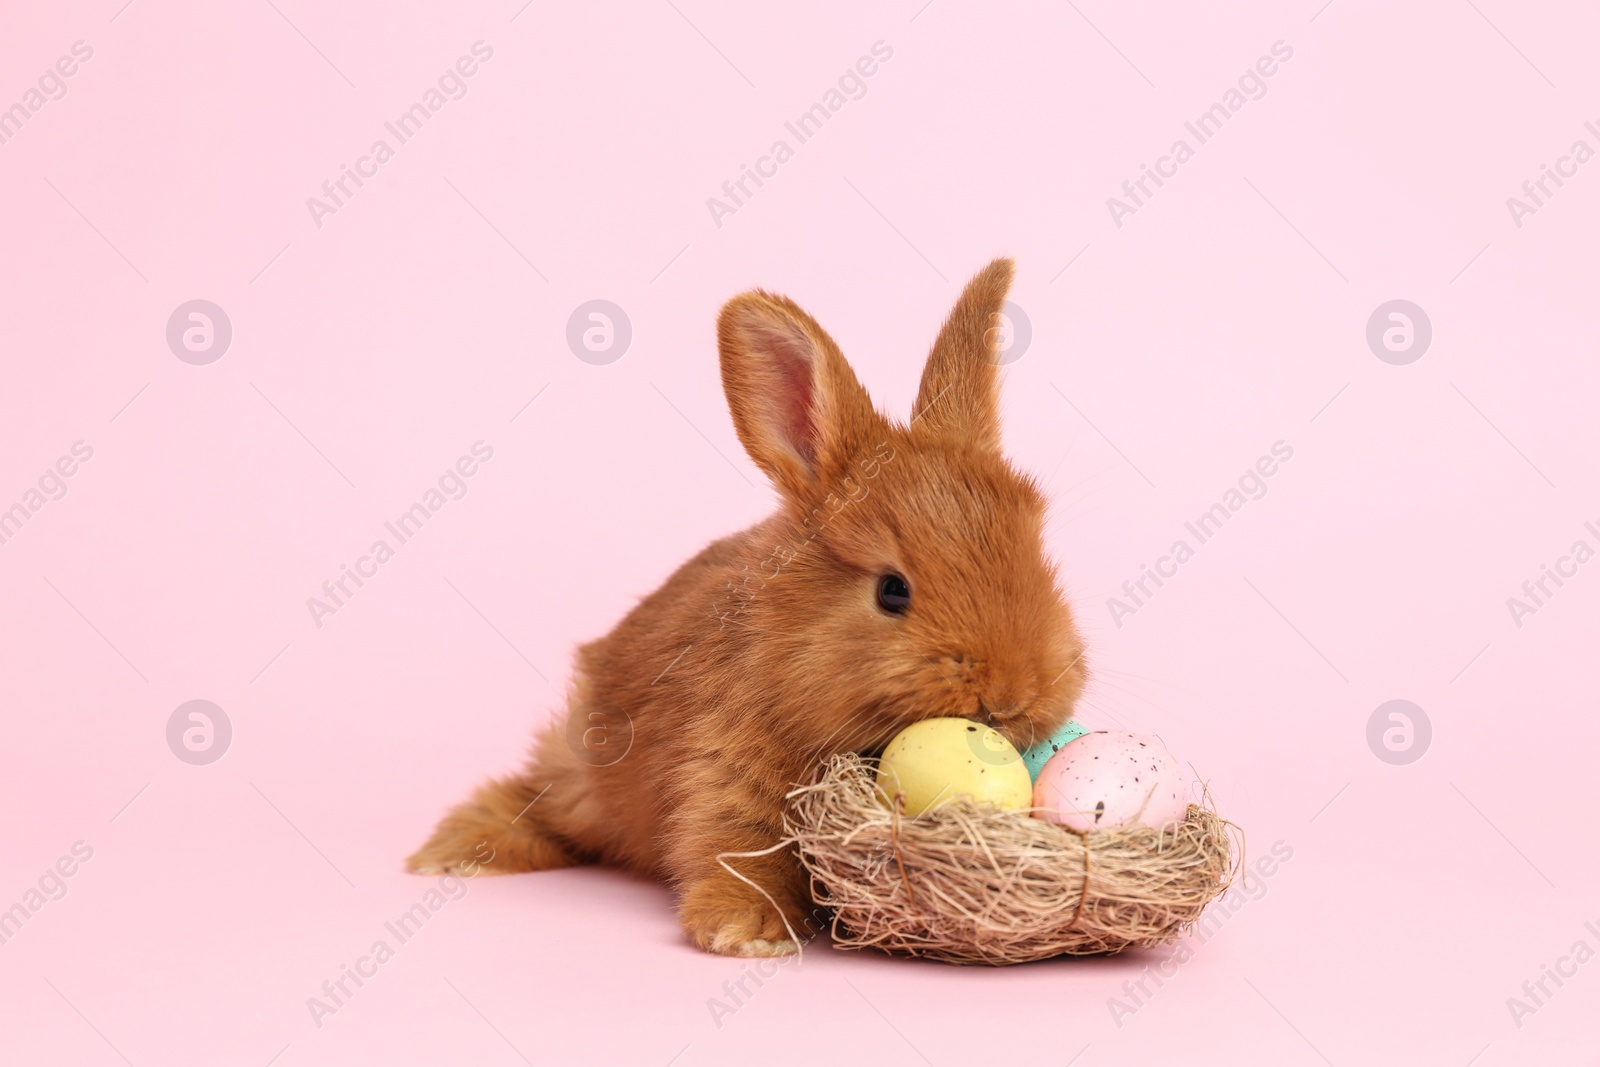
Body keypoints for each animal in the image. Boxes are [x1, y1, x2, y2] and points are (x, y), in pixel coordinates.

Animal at [406, 259, 1094, 959]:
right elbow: (738, 850)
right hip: (581, 777)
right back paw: (452, 852)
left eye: (1039, 559)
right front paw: (747, 932)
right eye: (892, 591)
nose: (1011, 695)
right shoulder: (724, 773)